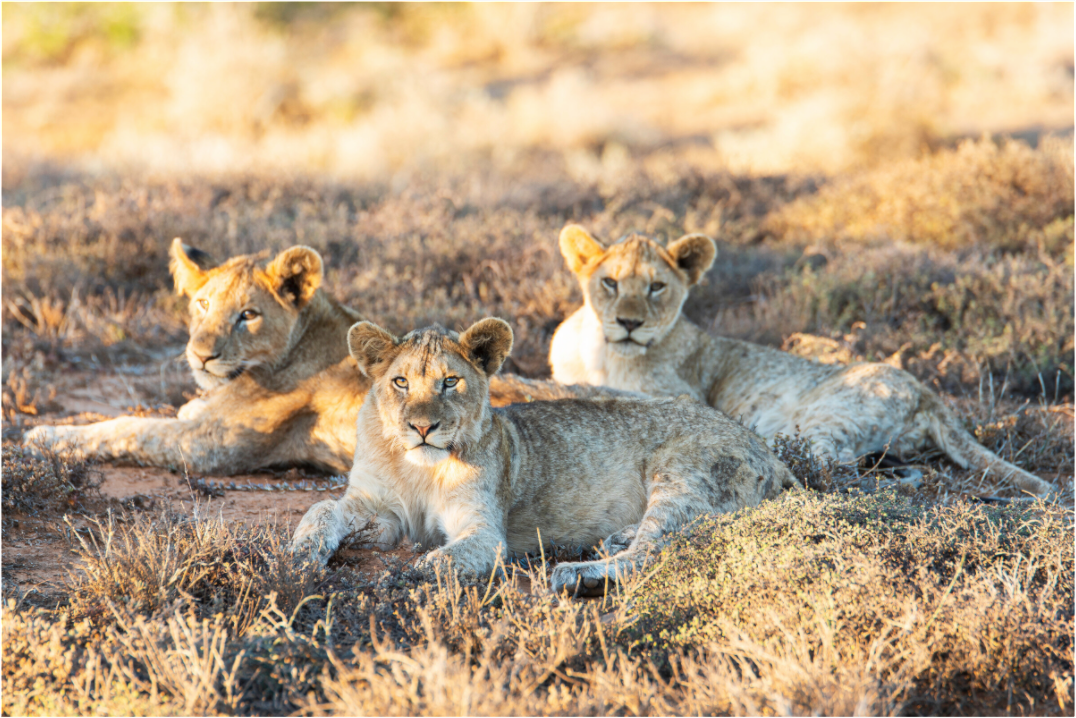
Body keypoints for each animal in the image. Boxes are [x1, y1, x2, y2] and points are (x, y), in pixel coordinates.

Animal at [24, 240, 607, 475]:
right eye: (202, 304)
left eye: (248, 315)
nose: (201, 355)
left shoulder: (211, 447)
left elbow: (127, 428)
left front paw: (45, 436)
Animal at [289, 318, 800, 594]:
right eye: (400, 382)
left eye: (450, 382)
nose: (422, 428)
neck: (417, 470)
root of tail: (770, 453)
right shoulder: (381, 511)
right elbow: (321, 509)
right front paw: (298, 555)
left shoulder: (484, 530)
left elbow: (441, 560)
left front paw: (411, 575)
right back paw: (615, 538)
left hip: (680, 472)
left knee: (654, 551)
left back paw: (580, 573)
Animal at [548, 225, 1055, 497]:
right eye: (610, 282)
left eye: (657, 287)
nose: (629, 323)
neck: (603, 352)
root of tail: (929, 392)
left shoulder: (676, 399)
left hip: (819, 420)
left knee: (831, 469)